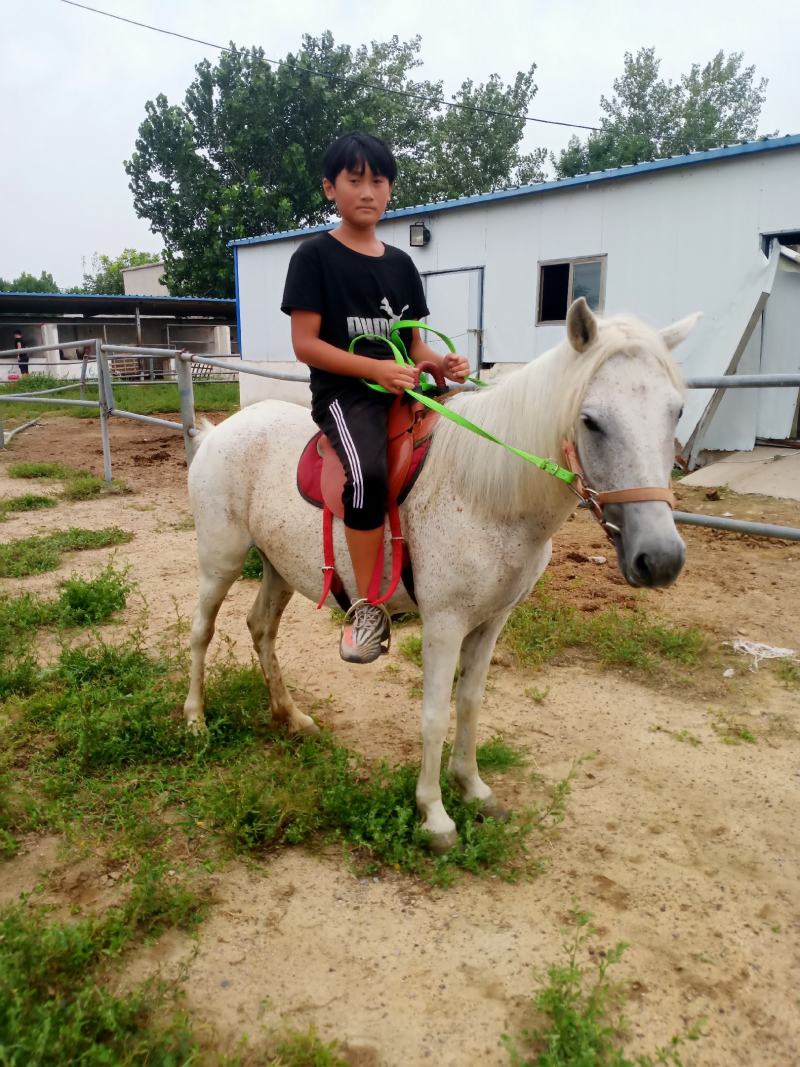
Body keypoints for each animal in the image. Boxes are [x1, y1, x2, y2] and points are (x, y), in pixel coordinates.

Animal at [183, 298, 699, 853]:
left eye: (677, 411)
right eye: (591, 421)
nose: (660, 558)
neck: (487, 493)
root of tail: (219, 431)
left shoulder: (493, 621)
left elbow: (470, 703)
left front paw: (473, 789)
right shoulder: (445, 623)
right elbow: (434, 715)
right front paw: (434, 815)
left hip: (279, 567)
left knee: (261, 628)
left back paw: (291, 717)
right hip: (220, 561)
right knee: (202, 632)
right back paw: (195, 722)